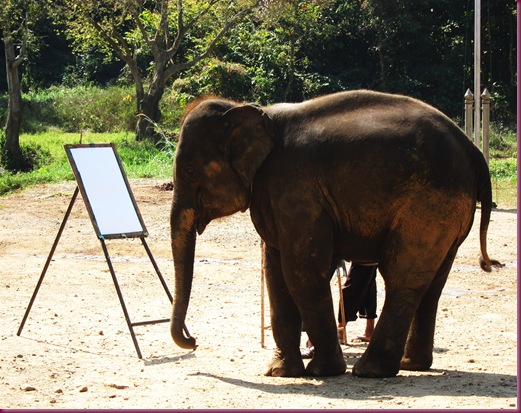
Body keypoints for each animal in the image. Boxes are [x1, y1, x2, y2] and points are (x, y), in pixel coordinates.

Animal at [168, 89, 500, 376]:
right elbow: (276, 272)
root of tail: (471, 149)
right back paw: (411, 365)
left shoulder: (294, 187)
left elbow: (302, 270)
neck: (252, 110)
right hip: (448, 213)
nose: (194, 340)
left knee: (402, 275)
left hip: (428, 205)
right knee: (432, 283)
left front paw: (322, 371)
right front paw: (280, 372)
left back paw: (370, 371)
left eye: (189, 171)